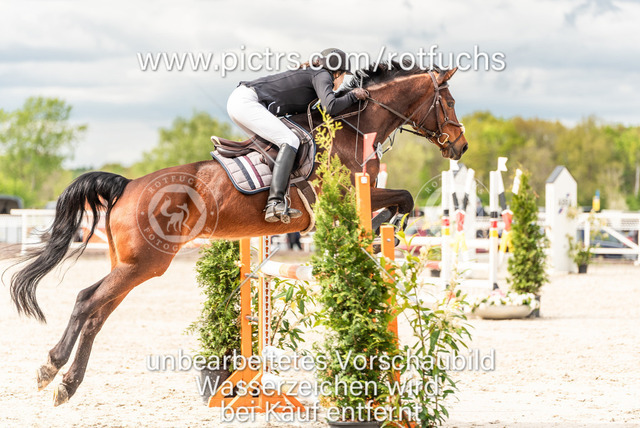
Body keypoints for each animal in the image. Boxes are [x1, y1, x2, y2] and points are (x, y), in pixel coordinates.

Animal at [9, 61, 468, 406]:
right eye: (448, 101)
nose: (460, 146)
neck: (353, 129)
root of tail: (128, 185)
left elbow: (404, 199)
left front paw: (380, 231)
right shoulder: (348, 192)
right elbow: (404, 198)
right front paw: (380, 229)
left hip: (131, 264)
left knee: (95, 309)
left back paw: (61, 378)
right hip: (146, 263)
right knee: (88, 303)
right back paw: (55, 373)